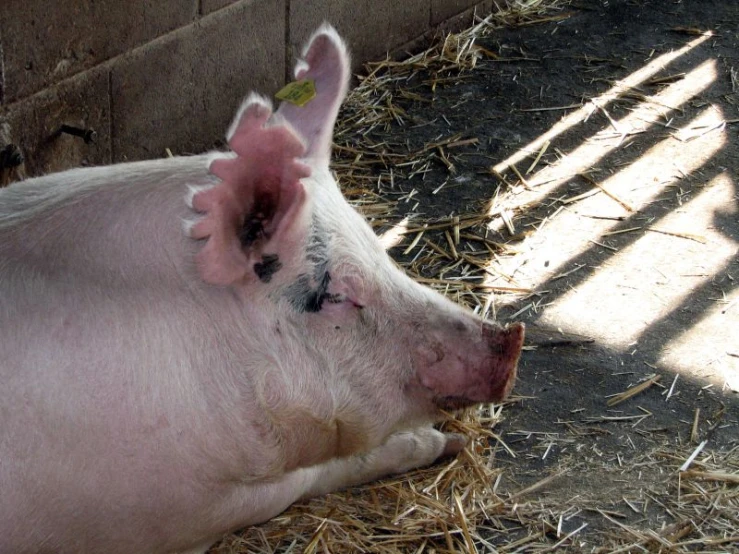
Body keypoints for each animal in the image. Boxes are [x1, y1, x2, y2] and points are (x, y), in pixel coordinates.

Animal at [0, 24, 528, 552]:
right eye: (334, 295)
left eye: (378, 251)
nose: (510, 339)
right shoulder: (173, 511)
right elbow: (308, 474)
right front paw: (444, 442)